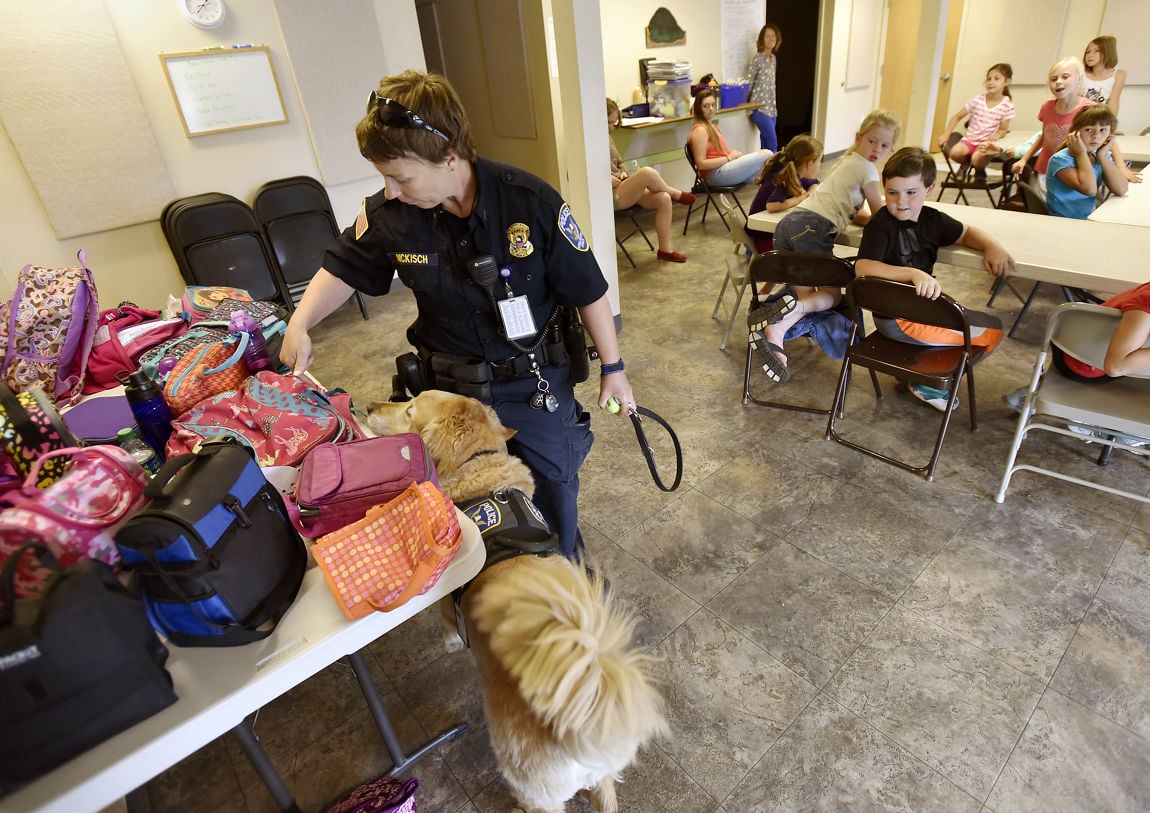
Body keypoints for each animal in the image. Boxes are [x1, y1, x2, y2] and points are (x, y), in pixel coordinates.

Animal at [368, 390, 671, 809]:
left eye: (410, 408)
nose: (367, 407)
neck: (479, 468)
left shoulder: (447, 595)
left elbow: (445, 625)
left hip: (529, 781)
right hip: (602, 778)